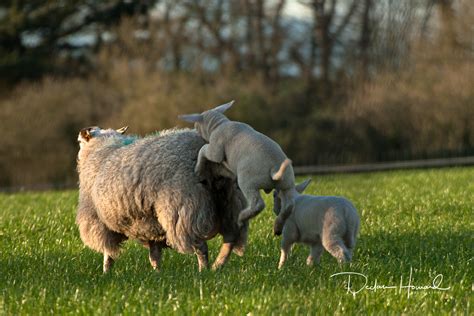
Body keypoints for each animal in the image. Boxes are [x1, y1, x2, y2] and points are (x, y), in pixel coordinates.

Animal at [76, 125, 248, 272]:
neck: (101, 147)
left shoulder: (100, 223)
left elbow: (108, 254)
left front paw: (106, 274)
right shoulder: (149, 224)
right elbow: (154, 255)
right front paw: (157, 273)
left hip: (184, 206)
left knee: (200, 245)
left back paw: (204, 270)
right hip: (232, 199)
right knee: (231, 237)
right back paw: (218, 265)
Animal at [179, 100, 296, 236]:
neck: (218, 124)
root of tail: (274, 169)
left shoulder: (215, 149)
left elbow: (204, 150)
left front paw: (198, 168)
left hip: (248, 181)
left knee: (258, 205)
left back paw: (241, 218)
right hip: (287, 183)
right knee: (288, 206)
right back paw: (277, 228)